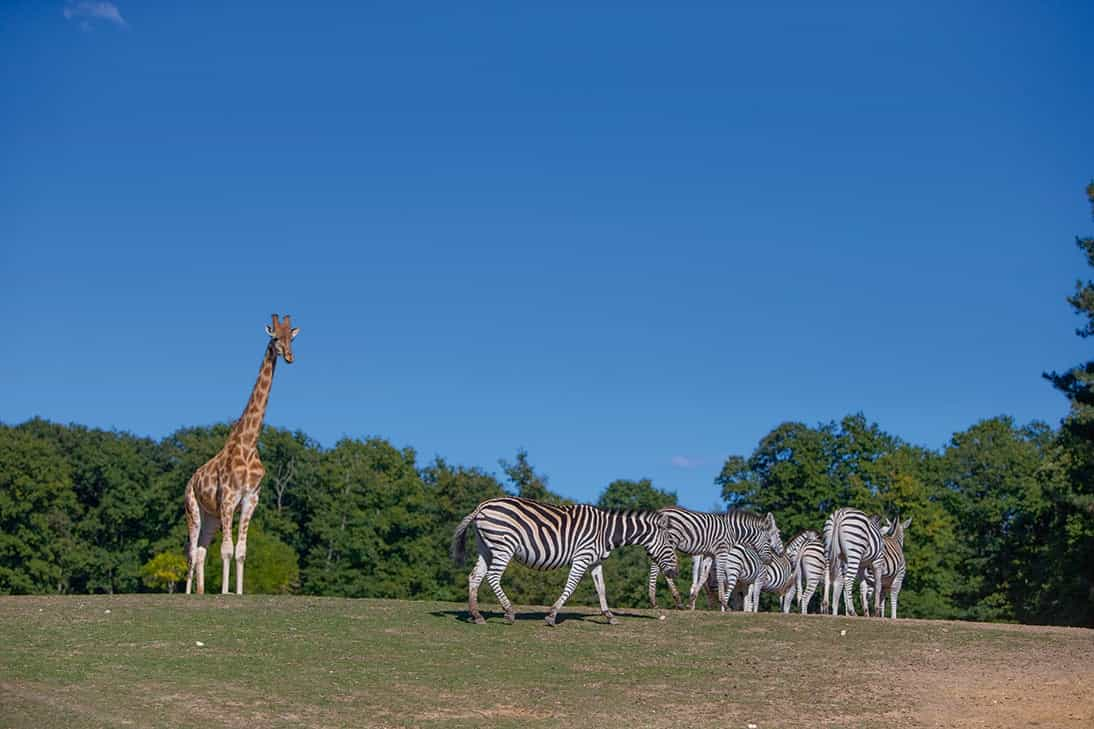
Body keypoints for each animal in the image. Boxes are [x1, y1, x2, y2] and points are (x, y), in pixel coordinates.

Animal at [184, 315, 299, 595]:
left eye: (291, 338)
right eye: (275, 338)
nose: (289, 356)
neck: (248, 444)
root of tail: (190, 480)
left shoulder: (250, 499)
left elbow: (241, 551)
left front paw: (237, 592)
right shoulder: (228, 498)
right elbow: (226, 550)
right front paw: (225, 593)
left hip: (211, 516)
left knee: (201, 551)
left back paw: (201, 592)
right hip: (193, 509)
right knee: (190, 552)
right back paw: (189, 593)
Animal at [450, 494, 673, 626]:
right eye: (670, 544)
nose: (674, 573)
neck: (606, 532)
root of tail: (482, 506)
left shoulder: (595, 561)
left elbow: (601, 588)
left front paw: (609, 616)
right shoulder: (582, 556)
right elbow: (571, 585)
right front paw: (552, 615)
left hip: (486, 547)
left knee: (475, 576)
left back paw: (477, 616)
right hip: (504, 545)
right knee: (493, 577)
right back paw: (510, 612)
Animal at [643, 505, 783, 608]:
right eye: (770, 540)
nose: (770, 559)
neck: (732, 531)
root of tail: (660, 511)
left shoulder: (709, 553)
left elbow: (704, 576)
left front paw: (691, 600)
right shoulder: (722, 551)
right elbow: (720, 575)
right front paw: (724, 602)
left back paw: (675, 600)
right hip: (666, 543)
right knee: (656, 567)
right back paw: (654, 600)